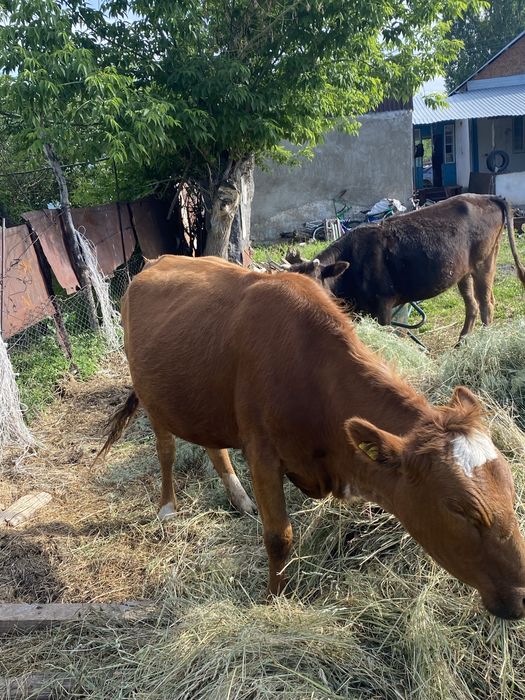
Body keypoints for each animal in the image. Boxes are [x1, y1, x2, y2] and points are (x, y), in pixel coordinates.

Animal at [99, 255, 525, 618]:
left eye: (511, 491)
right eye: (462, 511)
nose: (524, 597)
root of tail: (154, 261)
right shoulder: (262, 452)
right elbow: (279, 537)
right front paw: (274, 599)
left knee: (213, 446)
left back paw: (240, 499)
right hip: (152, 395)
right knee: (166, 448)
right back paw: (168, 508)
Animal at [286, 194, 525, 342]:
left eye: (316, 285)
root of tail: (487, 196)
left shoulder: (384, 303)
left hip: (484, 262)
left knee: (486, 304)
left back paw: (483, 341)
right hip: (463, 272)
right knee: (472, 306)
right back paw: (461, 343)